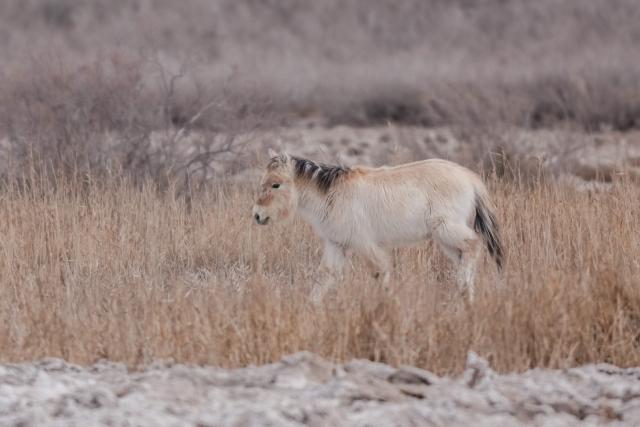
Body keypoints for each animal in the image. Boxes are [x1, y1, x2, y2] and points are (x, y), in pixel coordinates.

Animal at [252, 149, 503, 300]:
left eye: (275, 184)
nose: (257, 215)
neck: (332, 194)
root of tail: (470, 178)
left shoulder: (366, 245)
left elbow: (380, 273)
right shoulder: (336, 245)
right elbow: (324, 278)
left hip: (446, 229)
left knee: (473, 245)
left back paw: (462, 290)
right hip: (446, 240)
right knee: (465, 257)